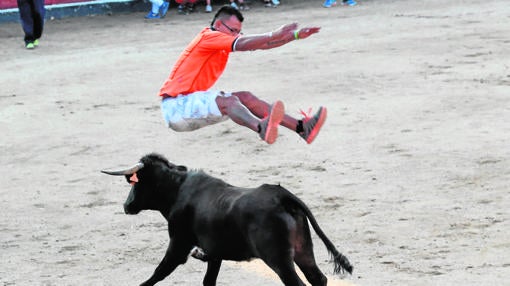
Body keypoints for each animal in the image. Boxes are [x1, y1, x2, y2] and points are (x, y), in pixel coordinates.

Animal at [101, 154, 352, 286]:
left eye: (135, 183)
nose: (126, 206)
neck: (178, 189)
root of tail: (281, 195)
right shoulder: (215, 253)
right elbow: (208, 281)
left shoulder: (178, 244)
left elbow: (159, 272)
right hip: (303, 250)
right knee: (318, 278)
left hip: (279, 259)